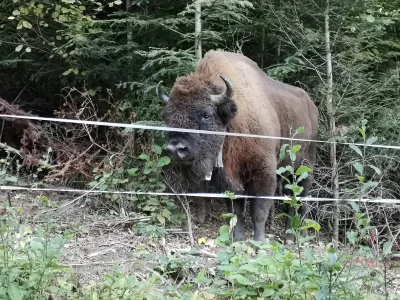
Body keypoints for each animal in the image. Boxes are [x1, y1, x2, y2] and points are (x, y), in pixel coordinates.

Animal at [157, 50, 318, 243]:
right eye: (166, 116)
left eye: (206, 115)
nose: (176, 148)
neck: (232, 122)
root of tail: (313, 107)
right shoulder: (228, 178)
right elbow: (236, 209)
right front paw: (239, 239)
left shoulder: (264, 173)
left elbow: (259, 210)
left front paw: (259, 241)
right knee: (291, 198)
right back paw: (290, 235)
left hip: (306, 166)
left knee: (302, 198)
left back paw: (297, 236)